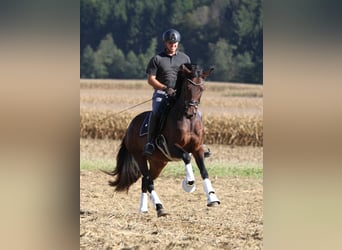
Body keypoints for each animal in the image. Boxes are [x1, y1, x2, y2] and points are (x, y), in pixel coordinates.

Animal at [104, 63, 220, 217]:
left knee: (145, 181)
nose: (190, 112)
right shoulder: (171, 147)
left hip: (158, 162)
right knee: (148, 181)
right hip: (140, 157)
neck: (187, 121)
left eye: (202, 88)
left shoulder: (197, 148)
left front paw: (212, 198)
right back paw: (160, 208)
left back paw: (144, 209)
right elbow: (186, 156)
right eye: (187, 88)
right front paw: (189, 183)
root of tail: (130, 126)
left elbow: (204, 171)